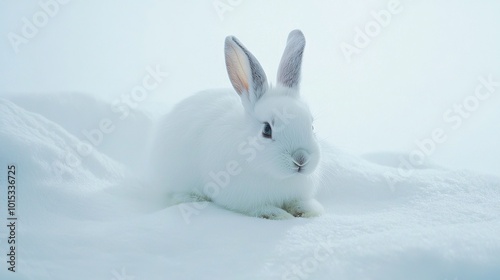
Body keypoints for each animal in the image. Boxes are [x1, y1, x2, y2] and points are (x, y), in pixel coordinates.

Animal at [151, 30, 324, 219]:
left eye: (311, 126)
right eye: (266, 130)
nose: (301, 159)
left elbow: (298, 202)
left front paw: (309, 211)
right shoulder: (243, 199)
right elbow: (259, 208)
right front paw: (277, 215)